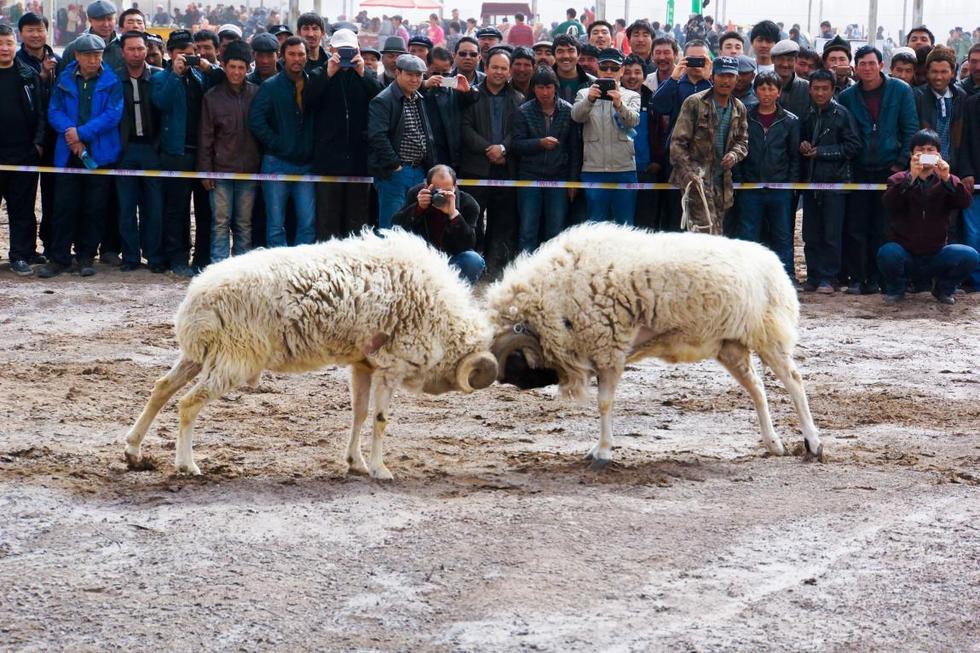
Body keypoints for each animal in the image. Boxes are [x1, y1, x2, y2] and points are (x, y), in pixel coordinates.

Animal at [124, 229, 498, 478]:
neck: (444, 318)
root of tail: (195, 298)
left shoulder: (362, 364)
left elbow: (359, 414)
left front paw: (356, 463)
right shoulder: (390, 367)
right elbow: (380, 420)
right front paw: (380, 469)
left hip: (201, 354)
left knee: (161, 388)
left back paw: (133, 450)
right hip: (235, 358)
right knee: (188, 404)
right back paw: (186, 464)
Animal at [486, 223, 824, 464]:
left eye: (513, 362)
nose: (511, 384)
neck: (556, 300)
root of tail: (774, 262)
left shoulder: (609, 349)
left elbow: (604, 403)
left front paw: (602, 452)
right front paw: (599, 449)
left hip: (768, 335)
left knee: (794, 381)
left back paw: (813, 442)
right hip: (730, 345)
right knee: (757, 389)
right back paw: (773, 443)